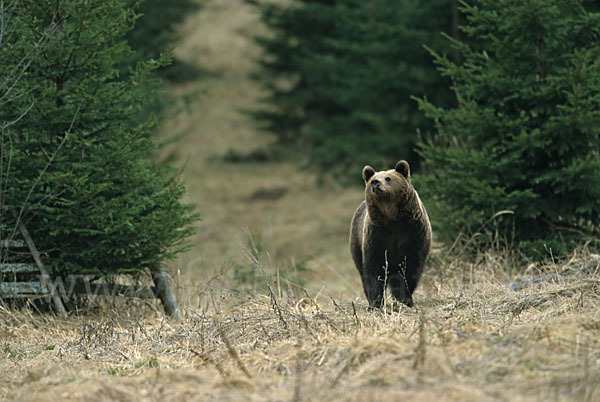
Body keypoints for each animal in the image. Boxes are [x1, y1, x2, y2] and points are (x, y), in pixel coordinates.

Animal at [350, 159, 428, 308]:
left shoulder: (413, 233)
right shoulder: (377, 236)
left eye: (388, 178)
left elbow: (409, 269)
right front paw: (375, 303)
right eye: (373, 179)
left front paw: (404, 299)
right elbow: (374, 270)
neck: (392, 219)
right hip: (356, 242)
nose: (375, 183)